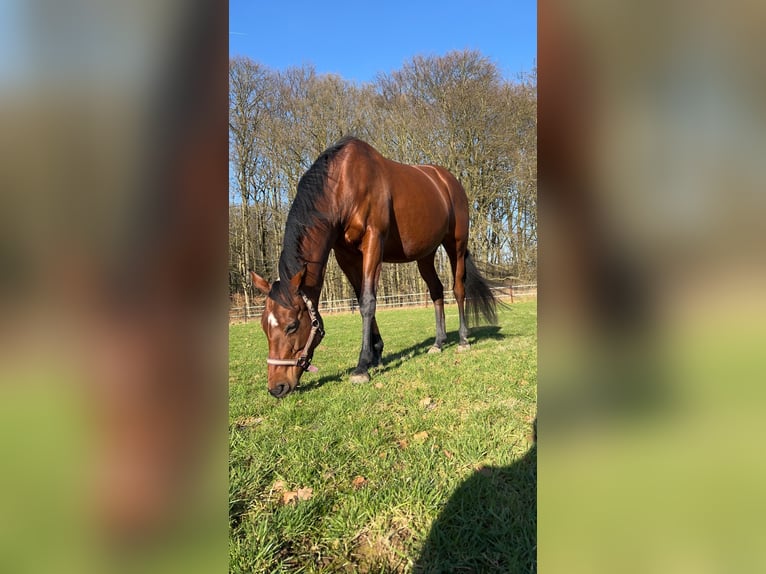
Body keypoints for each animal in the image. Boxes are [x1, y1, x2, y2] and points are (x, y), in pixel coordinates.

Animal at [252, 137, 498, 398]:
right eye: (264, 326)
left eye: (292, 326)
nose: (277, 387)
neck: (343, 185)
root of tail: (448, 180)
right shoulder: (346, 256)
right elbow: (363, 299)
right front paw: (377, 355)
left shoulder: (373, 242)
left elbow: (368, 301)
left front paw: (362, 366)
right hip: (425, 255)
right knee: (436, 291)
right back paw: (438, 343)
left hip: (456, 246)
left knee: (458, 289)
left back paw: (463, 340)